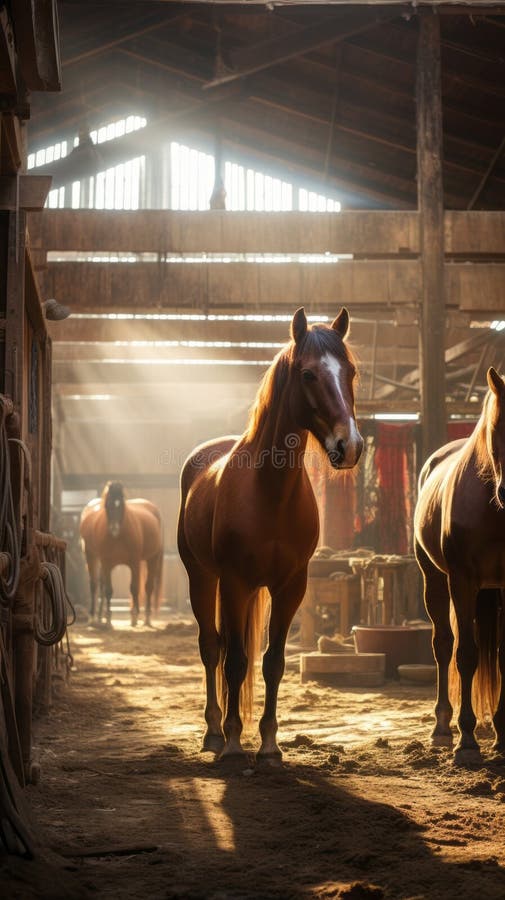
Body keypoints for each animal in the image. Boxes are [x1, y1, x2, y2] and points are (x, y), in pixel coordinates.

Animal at [79, 482, 164, 628]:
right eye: (107, 505)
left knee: (148, 587)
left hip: (152, 558)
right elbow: (108, 590)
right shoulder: (106, 562)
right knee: (95, 584)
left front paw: (134, 616)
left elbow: (134, 588)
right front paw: (108, 619)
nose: (114, 528)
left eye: (122, 505)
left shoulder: (134, 562)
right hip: (91, 556)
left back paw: (146, 618)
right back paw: (94, 617)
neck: (118, 537)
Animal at [177, 307, 363, 761]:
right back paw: (214, 732)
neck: (270, 491)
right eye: (308, 374)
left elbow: (273, 662)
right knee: (212, 648)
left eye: (350, 371)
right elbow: (235, 661)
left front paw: (269, 744)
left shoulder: (290, 586)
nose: (349, 446)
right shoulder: (235, 582)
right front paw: (232, 742)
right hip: (203, 578)